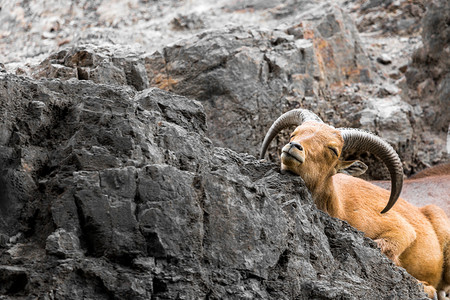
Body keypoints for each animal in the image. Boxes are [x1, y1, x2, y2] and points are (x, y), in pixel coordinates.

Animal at [260, 109, 450, 298]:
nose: (294, 146)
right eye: (294, 134)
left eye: (333, 149)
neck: (340, 207)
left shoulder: (401, 229)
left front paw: (425, 286)